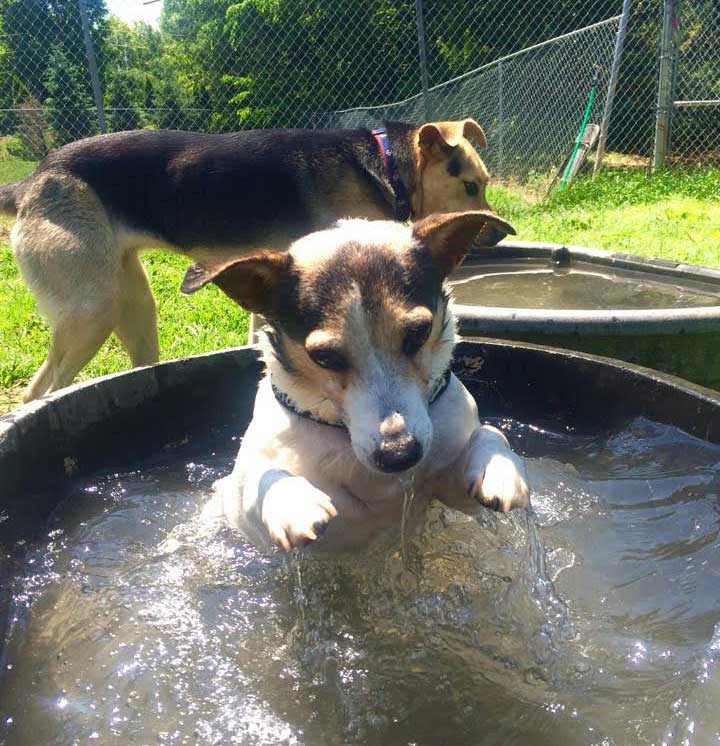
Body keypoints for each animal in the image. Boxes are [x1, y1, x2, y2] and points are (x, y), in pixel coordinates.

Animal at [0, 119, 512, 404]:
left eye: (485, 184)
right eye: (470, 186)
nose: (504, 232)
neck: (384, 164)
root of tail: (32, 180)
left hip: (134, 307)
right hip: (92, 311)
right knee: (37, 392)